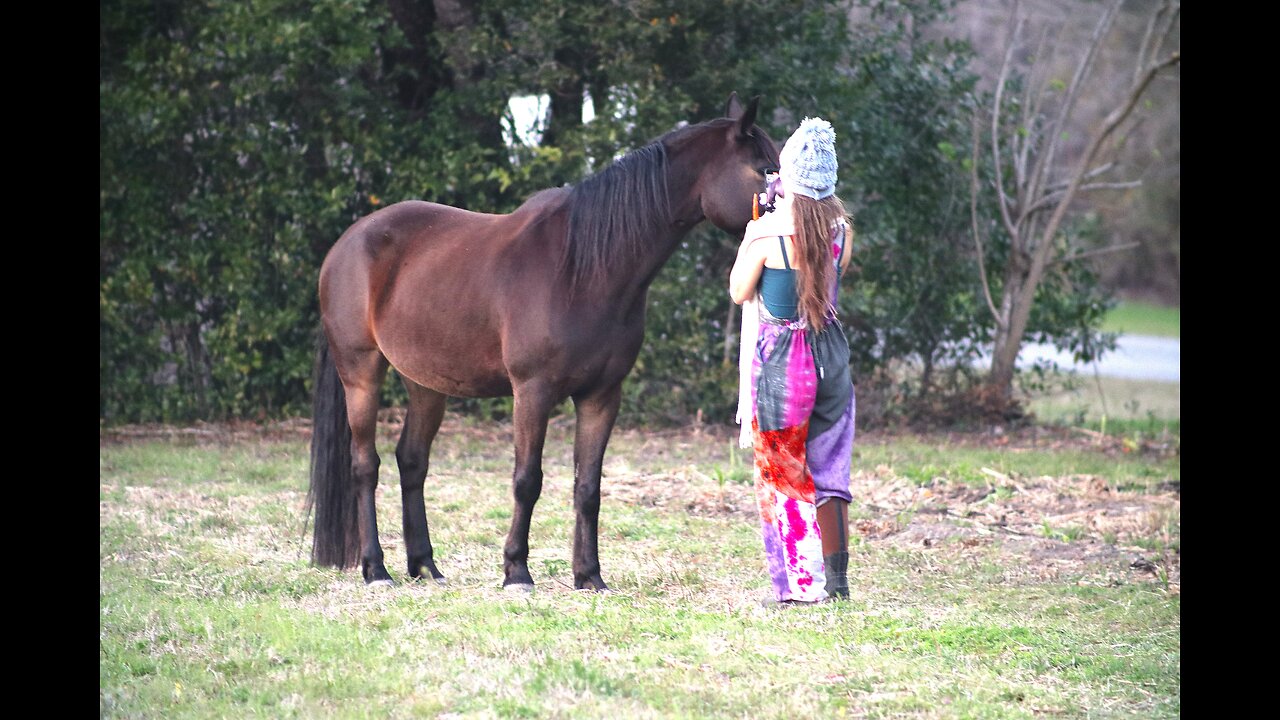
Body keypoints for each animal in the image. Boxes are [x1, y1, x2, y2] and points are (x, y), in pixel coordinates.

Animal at [307, 92, 778, 589]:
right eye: (766, 169)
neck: (583, 268)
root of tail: (346, 243)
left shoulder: (602, 395)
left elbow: (587, 486)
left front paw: (589, 576)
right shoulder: (533, 391)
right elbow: (527, 479)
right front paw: (517, 570)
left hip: (426, 383)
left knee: (412, 461)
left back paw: (426, 567)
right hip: (361, 373)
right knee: (365, 465)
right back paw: (375, 568)